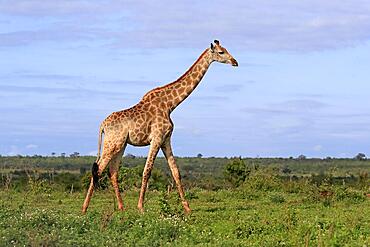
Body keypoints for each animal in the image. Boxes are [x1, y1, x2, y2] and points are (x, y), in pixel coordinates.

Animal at [82, 39, 238, 213]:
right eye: (221, 52)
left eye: (225, 49)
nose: (235, 62)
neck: (170, 104)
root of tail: (102, 125)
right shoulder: (156, 138)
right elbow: (147, 170)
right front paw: (141, 207)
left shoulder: (166, 139)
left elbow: (176, 172)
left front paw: (187, 208)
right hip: (112, 144)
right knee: (98, 169)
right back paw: (84, 208)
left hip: (120, 145)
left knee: (113, 171)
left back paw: (121, 208)